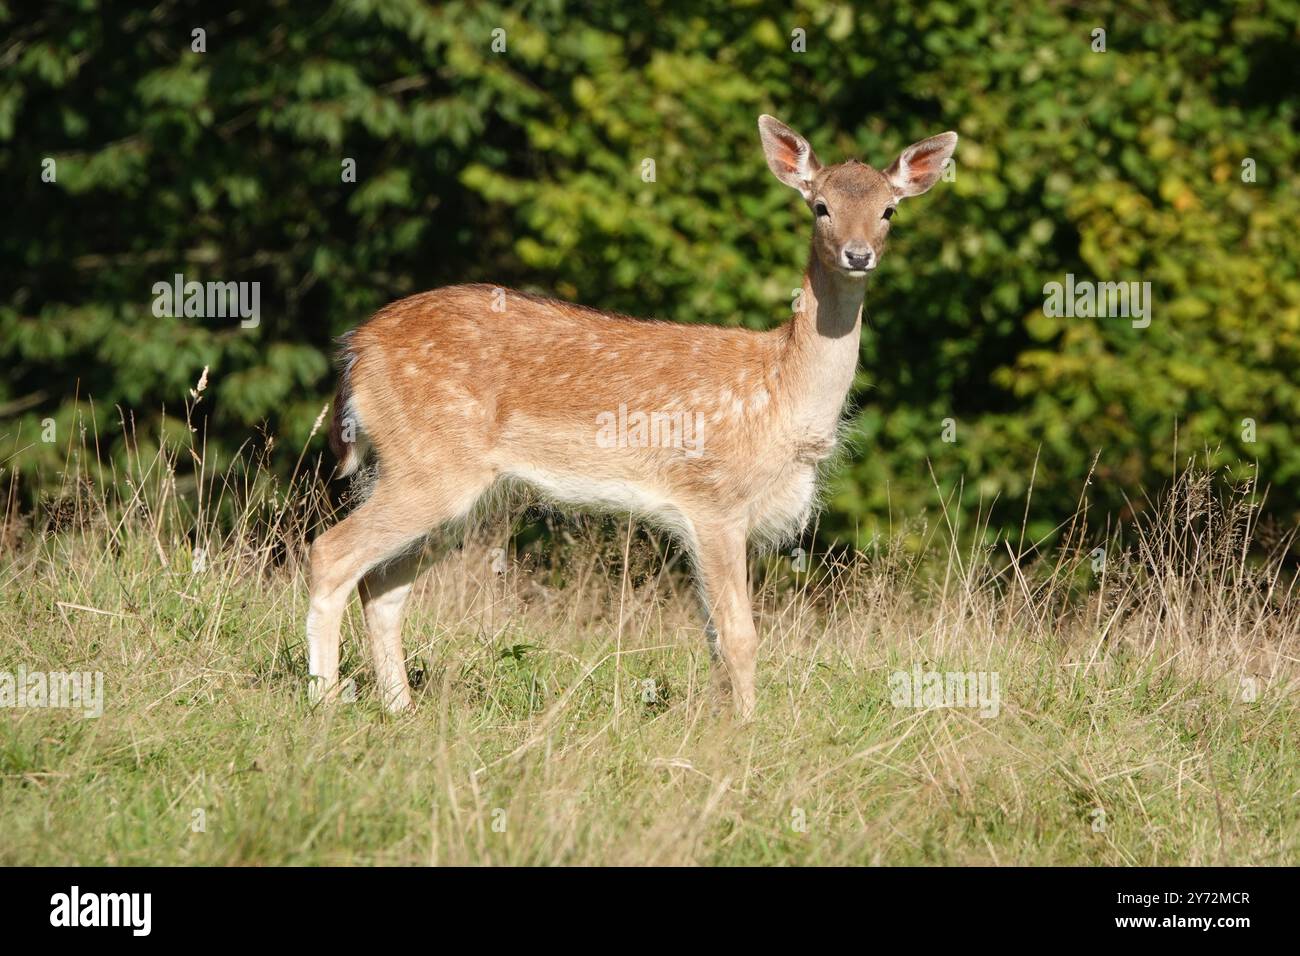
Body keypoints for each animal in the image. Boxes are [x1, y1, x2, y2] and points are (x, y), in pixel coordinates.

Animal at [307, 115, 957, 719]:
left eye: (889, 210)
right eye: (821, 206)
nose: (858, 254)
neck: (782, 396)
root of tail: (357, 351)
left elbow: (714, 637)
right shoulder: (713, 498)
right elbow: (740, 636)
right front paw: (749, 732)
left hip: (451, 490)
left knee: (382, 585)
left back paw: (399, 709)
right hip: (429, 463)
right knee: (331, 553)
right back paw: (325, 702)